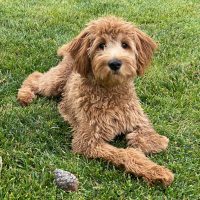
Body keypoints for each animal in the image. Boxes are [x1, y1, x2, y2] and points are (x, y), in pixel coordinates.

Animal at [17, 16, 173, 187]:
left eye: (125, 44)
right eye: (101, 45)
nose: (115, 63)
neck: (111, 93)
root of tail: (71, 52)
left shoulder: (137, 119)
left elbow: (146, 137)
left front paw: (154, 143)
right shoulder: (88, 141)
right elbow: (125, 153)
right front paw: (157, 172)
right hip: (55, 82)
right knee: (35, 77)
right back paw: (24, 96)